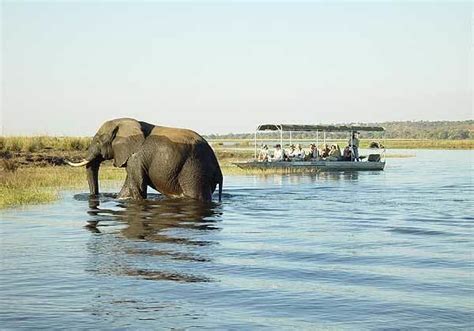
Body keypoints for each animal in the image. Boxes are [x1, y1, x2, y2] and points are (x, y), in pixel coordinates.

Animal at [65, 118, 223, 202]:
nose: (95, 196)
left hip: (194, 169)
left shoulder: (136, 157)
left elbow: (138, 187)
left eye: (98, 141)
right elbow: (129, 186)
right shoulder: (132, 158)